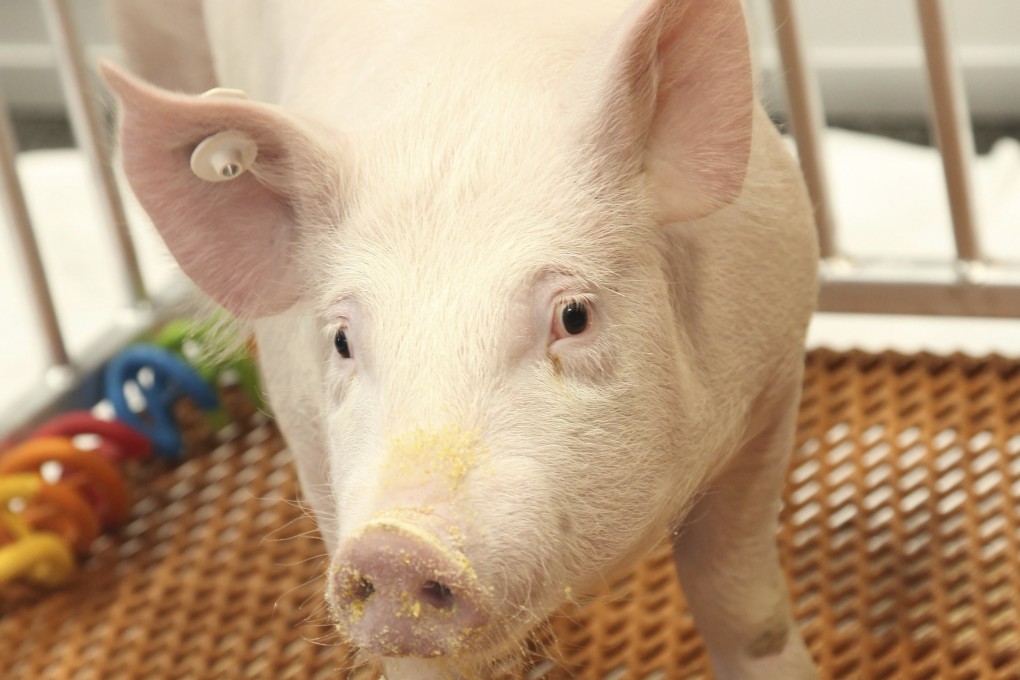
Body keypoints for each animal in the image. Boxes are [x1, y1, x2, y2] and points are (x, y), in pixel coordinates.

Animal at [102, 0, 819, 677]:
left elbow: (738, 599)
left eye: (574, 316)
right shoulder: (317, 461)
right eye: (341, 340)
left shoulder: (775, 378)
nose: (395, 546)